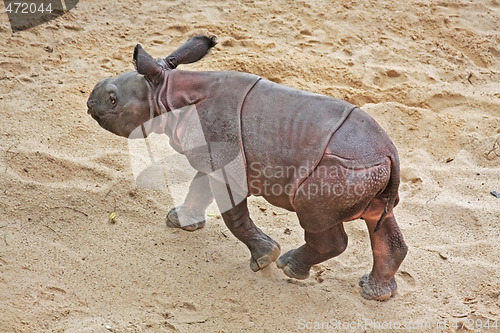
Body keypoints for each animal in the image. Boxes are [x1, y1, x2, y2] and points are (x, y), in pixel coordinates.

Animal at [88, 35, 408, 300]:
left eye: (112, 99)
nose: (90, 103)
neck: (167, 93)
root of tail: (389, 153)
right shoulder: (212, 157)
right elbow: (198, 188)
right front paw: (180, 222)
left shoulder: (226, 163)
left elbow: (233, 216)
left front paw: (265, 258)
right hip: (369, 169)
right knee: (379, 218)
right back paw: (374, 293)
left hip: (343, 167)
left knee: (316, 217)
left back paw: (289, 267)